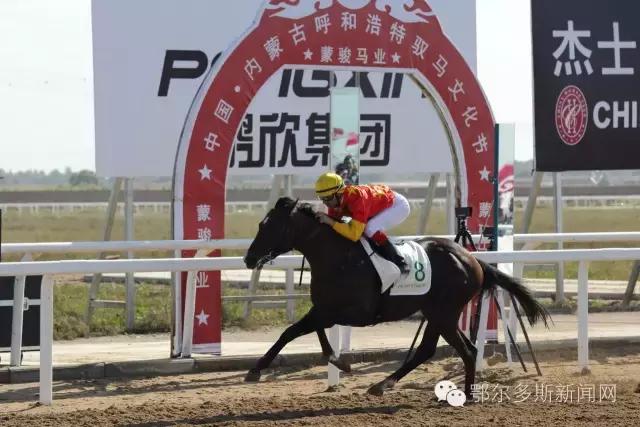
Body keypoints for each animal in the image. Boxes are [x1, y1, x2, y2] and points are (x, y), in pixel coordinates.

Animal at [243, 197, 550, 397]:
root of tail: (473, 260)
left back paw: (461, 394)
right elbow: (305, 331)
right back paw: (386, 384)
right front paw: (338, 360)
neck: (337, 257)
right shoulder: (325, 307)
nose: (248, 258)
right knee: (436, 349)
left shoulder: (353, 312)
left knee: (460, 350)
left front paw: (255, 370)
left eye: (266, 226)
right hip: (437, 313)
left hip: (444, 313)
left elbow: (295, 331)